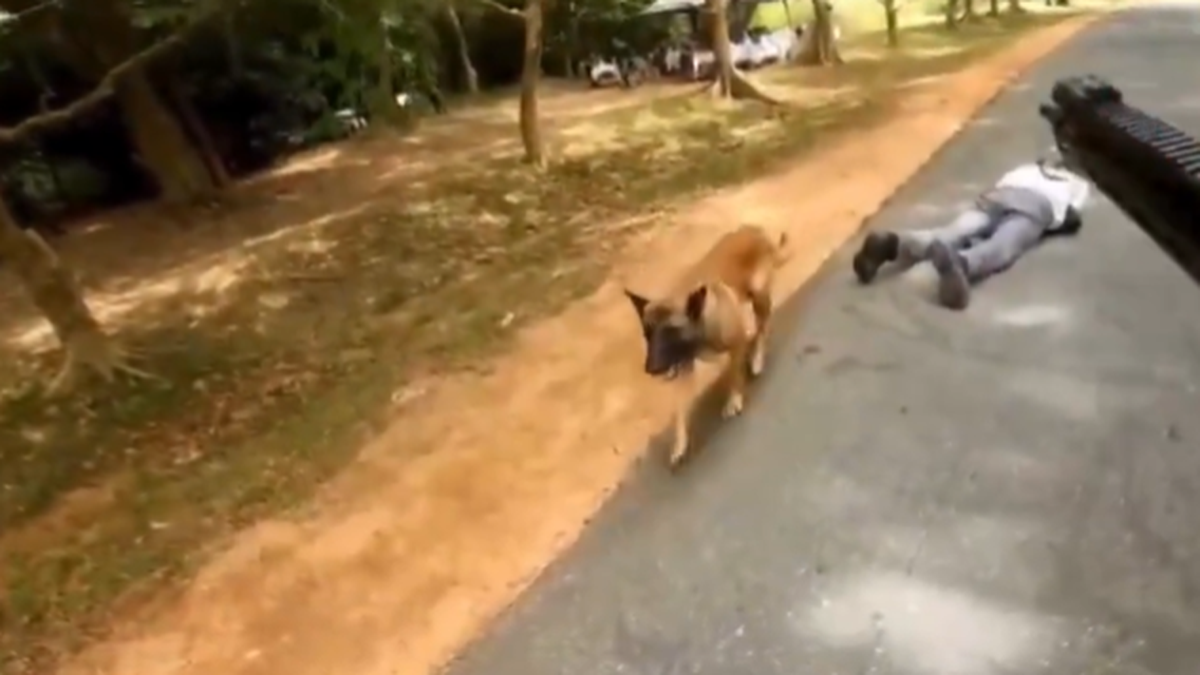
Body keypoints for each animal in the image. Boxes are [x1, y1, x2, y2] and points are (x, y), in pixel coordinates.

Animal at [628, 223, 787, 466]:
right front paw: (680, 444)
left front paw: (734, 400)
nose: (651, 368)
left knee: (762, 326)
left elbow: (734, 375)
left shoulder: (735, 344)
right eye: (647, 334)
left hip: (758, 295)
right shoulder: (683, 370)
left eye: (671, 331)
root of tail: (754, 230)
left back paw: (757, 357)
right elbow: (680, 410)